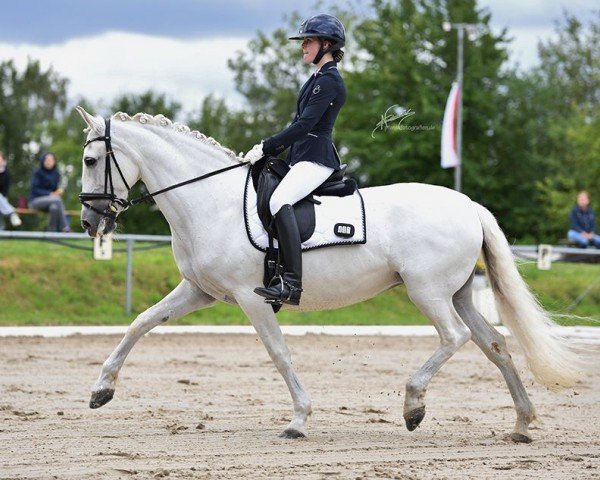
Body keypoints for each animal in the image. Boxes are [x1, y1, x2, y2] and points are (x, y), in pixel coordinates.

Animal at [77, 108, 584, 442]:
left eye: (89, 161)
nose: (89, 222)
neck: (209, 201)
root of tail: (468, 204)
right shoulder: (200, 291)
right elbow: (141, 322)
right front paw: (101, 390)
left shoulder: (251, 296)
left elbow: (279, 353)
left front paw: (299, 420)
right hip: (457, 292)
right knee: (494, 344)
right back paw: (521, 424)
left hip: (427, 291)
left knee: (454, 337)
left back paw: (413, 406)